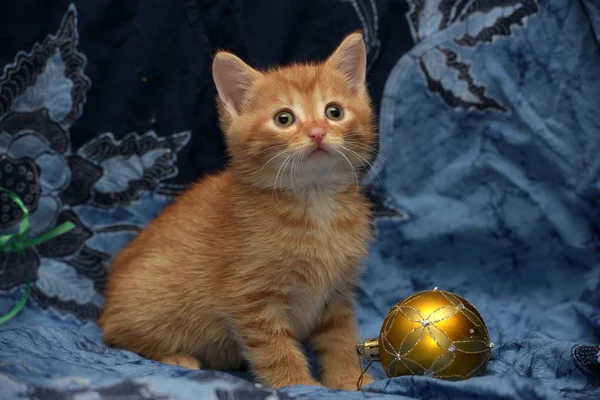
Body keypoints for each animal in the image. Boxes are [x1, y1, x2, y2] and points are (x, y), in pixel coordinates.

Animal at [101, 32, 378, 390]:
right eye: (284, 119)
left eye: (334, 111)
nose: (317, 132)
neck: (314, 204)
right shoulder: (251, 297)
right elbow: (274, 348)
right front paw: (297, 384)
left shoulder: (337, 294)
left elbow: (340, 338)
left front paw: (348, 380)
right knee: (115, 335)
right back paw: (173, 356)